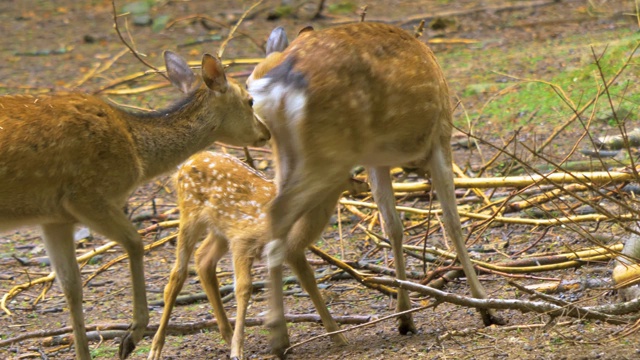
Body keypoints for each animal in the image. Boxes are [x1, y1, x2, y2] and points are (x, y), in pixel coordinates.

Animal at [0, 51, 268, 360]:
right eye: (249, 100)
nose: (266, 132)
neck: (137, 152)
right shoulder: (87, 196)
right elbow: (136, 243)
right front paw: (131, 335)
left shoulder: (54, 218)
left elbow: (71, 285)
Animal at [146, 150, 364, 358]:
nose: (360, 182)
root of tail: (187, 163)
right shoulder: (243, 241)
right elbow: (244, 288)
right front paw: (238, 351)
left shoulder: (291, 251)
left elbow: (307, 281)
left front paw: (337, 336)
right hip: (190, 215)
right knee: (177, 275)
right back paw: (156, 349)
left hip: (220, 230)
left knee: (203, 259)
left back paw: (227, 334)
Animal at [250, 22, 504, 358]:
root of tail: (278, 83)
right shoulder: (440, 136)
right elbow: (452, 222)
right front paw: (486, 308)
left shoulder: (377, 160)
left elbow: (393, 227)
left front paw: (405, 317)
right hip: (331, 155)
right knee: (277, 215)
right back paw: (280, 335)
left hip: (289, 155)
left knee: (279, 223)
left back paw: (308, 333)